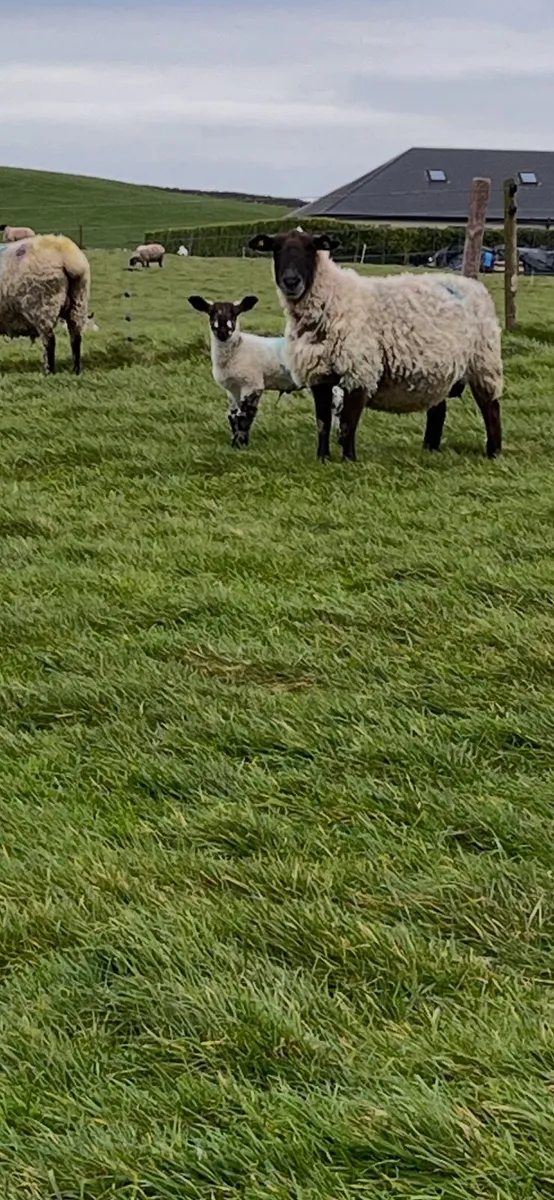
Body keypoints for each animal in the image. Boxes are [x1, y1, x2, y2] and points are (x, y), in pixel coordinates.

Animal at [0, 233, 91, 374]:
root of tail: (66, 254)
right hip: (78, 302)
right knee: (76, 338)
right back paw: (75, 370)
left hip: (43, 304)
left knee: (50, 340)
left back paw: (49, 371)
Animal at [187, 294, 301, 448]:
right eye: (211, 314)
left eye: (235, 314)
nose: (223, 332)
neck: (238, 349)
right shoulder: (232, 389)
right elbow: (233, 416)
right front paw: (234, 444)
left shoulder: (252, 384)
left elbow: (244, 416)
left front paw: (240, 445)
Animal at [249, 229, 503, 463]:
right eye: (276, 248)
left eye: (311, 247)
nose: (291, 282)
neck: (333, 297)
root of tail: (471, 284)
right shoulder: (319, 374)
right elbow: (323, 422)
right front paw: (322, 458)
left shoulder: (359, 370)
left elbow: (347, 424)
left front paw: (348, 461)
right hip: (438, 371)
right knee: (438, 411)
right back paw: (430, 448)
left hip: (484, 362)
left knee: (490, 408)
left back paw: (494, 453)